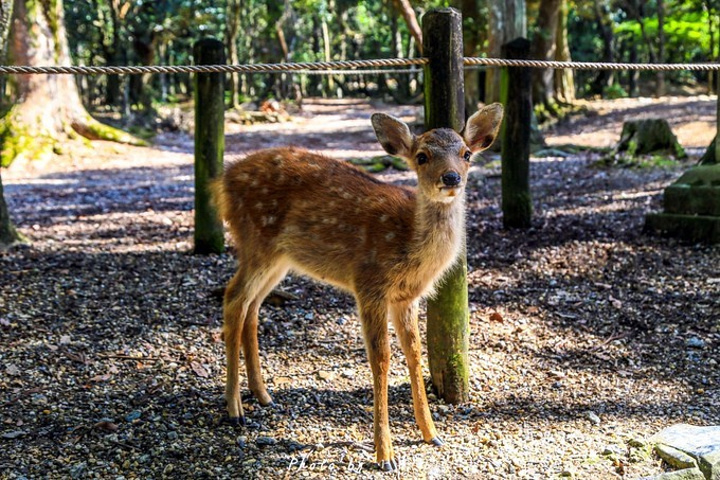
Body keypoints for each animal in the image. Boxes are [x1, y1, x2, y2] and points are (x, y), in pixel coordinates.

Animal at [214, 103, 504, 470]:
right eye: (422, 156)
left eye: (466, 154)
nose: (451, 178)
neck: (407, 243)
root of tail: (223, 181)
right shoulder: (369, 285)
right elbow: (380, 359)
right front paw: (385, 454)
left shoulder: (405, 297)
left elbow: (414, 352)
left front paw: (432, 433)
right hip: (256, 240)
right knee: (233, 297)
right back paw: (234, 409)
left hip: (279, 257)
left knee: (251, 305)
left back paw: (263, 395)